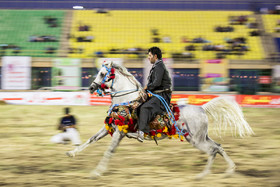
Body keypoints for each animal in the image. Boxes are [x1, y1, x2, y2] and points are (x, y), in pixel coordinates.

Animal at [66, 61, 255, 178]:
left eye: (103, 73)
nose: (91, 88)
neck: (127, 100)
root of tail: (202, 108)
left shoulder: (119, 133)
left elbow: (109, 151)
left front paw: (97, 172)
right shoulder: (110, 128)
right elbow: (91, 139)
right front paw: (72, 153)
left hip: (196, 140)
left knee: (212, 151)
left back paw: (202, 175)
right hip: (200, 137)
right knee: (218, 147)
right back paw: (229, 170)